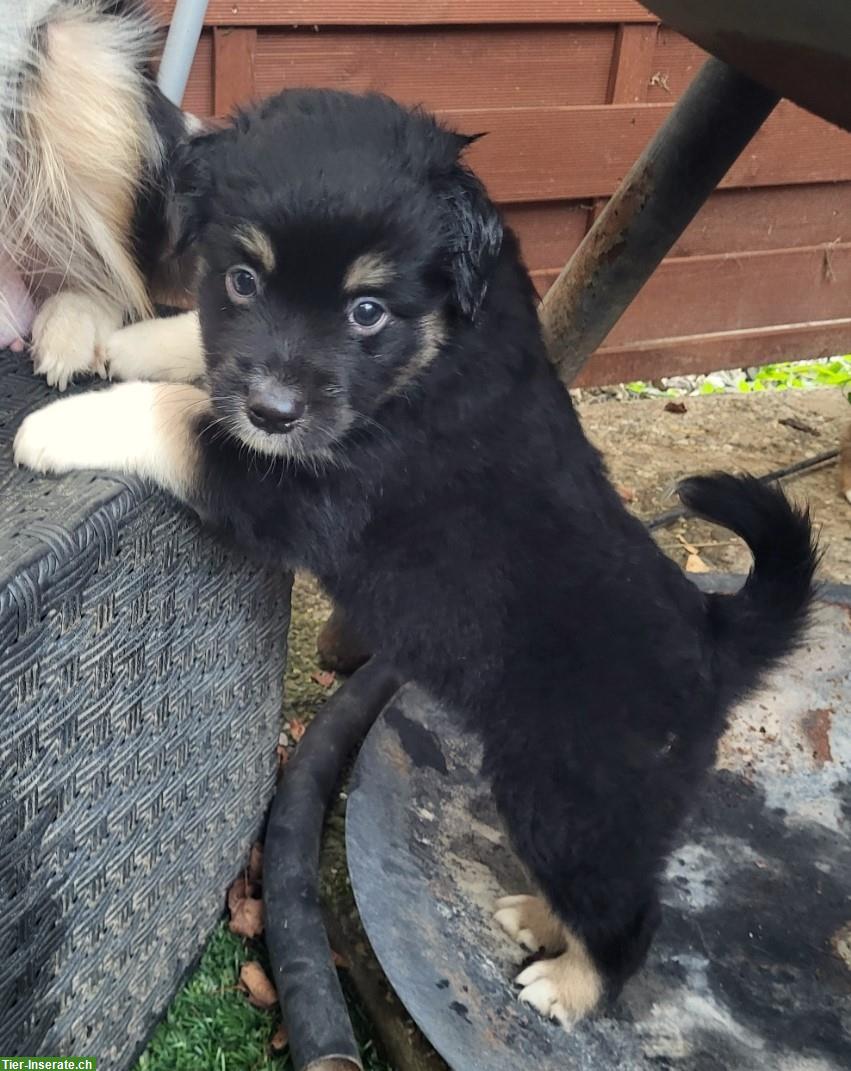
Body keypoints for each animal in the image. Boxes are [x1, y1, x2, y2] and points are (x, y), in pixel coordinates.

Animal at [16, 87, 817, 1023]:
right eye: (242, 279)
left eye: (367, 311)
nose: (275, 410)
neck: (438, 349)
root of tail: (715, 635)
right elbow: (207, 357)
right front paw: (135, 341)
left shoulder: (305, 489)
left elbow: (182, 416)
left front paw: (59, 424)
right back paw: (535, 917)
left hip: (570, 799)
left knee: (626, 916)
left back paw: (568, 986)